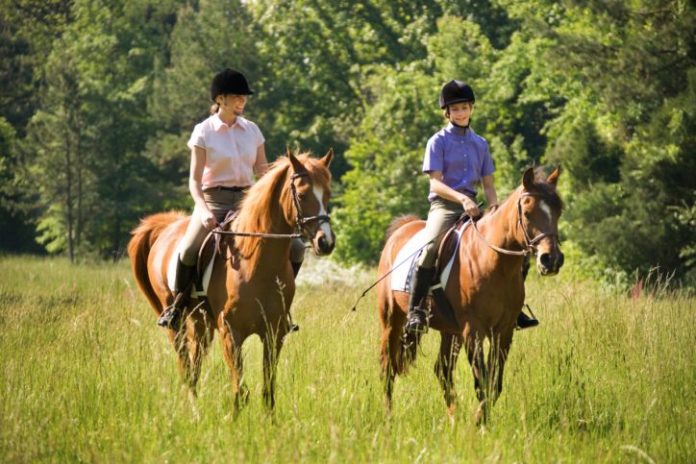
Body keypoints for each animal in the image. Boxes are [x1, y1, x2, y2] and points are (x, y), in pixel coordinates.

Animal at [128, 151, 334, 410]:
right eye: (304, 194)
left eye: (328, 194)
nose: (325, 242)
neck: (256, 264)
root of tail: (166, 226)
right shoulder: (230, 333)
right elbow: (240, 392)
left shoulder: (273, 333)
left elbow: (268, 392)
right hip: (176, 320)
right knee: (186, 366)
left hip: (201, 322)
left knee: (195, 366)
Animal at [378, 168, 564, 424]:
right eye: (527, 213)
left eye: (558, 211)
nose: (551, 259)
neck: (495, 263)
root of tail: (400, 231)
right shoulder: (474, 330)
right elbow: (481, 381)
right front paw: (479, 424)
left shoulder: (503, 331)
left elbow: (494, 382)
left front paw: (480, 420)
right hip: (391, 320)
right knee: (387, 368)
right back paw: (388, 417)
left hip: (450, 330)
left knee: (442, 370)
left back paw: (453, 419)